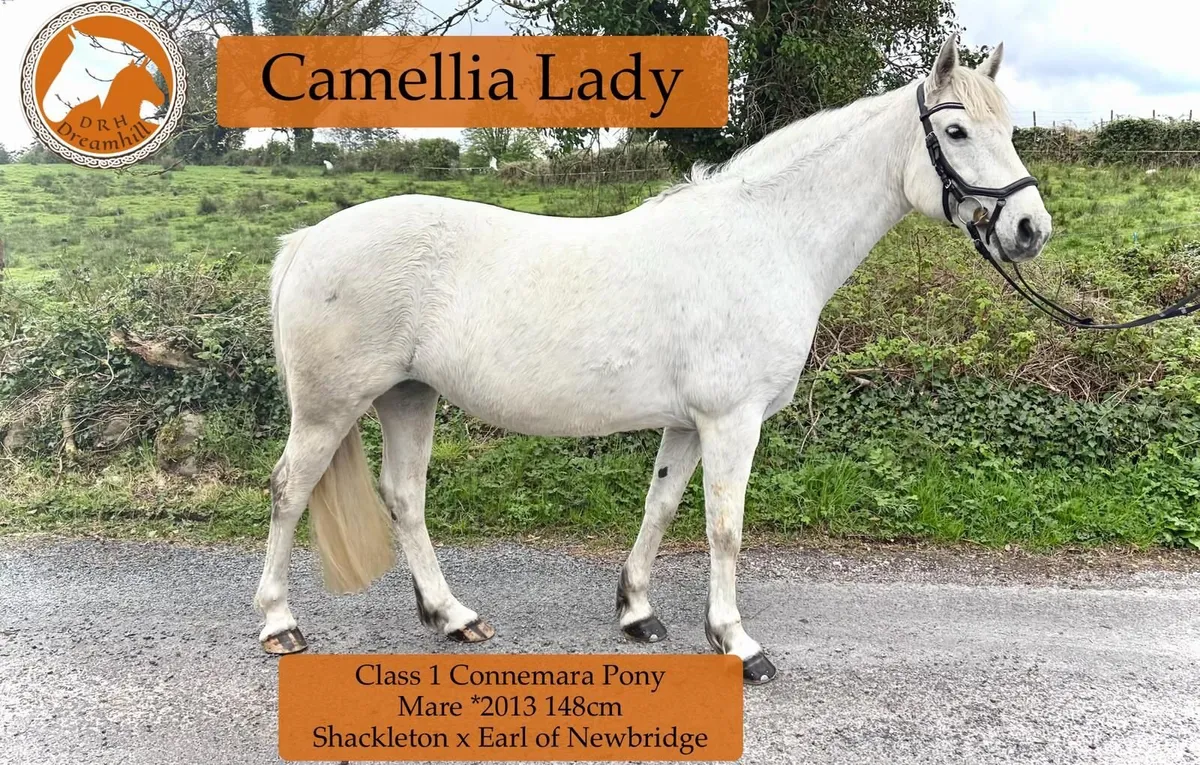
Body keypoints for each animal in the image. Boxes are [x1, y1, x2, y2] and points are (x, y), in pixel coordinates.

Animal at [254, 36, 1052, 684]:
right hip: (329, 407)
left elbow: (661, 505)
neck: (768, 238)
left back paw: (454, 617)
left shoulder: (689, 423)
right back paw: (280, 625)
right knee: (290, 490)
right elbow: (724, 528)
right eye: (955, 129)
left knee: (405, 496)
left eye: (1009, 129)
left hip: (409, 395)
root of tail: (308, 239)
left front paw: (637, 612)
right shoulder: (732, 421)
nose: (1029, 227)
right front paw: (737, 643)